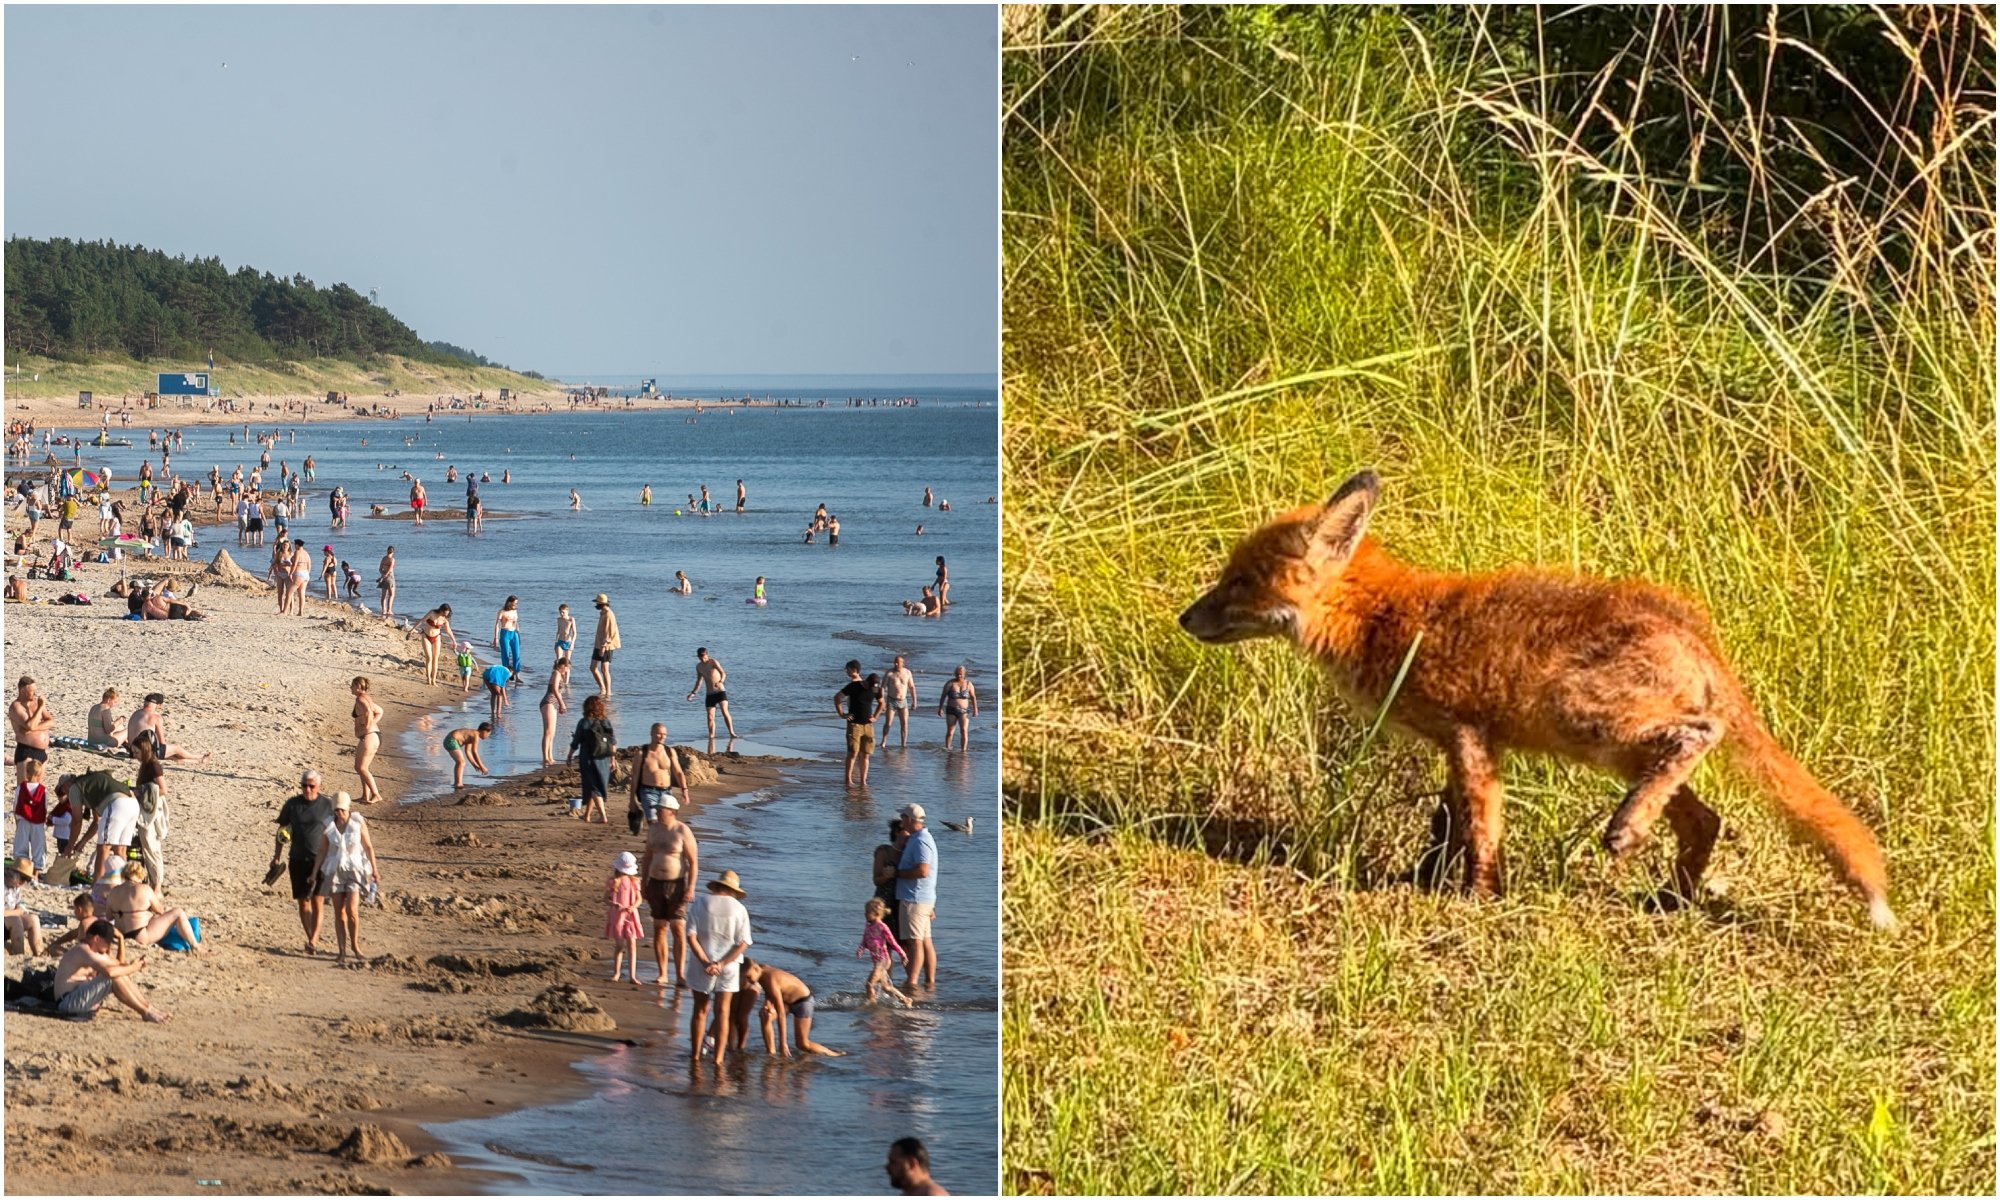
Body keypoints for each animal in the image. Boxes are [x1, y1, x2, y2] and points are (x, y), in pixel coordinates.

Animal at [1178, 469, 1895, 931]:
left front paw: (1476, 897)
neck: (1383, 619)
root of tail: (1692, 625)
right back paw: (1673, 900)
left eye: (1239, 582)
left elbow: (1479, 826)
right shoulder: (1465, 744)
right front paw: (1427, 880)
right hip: (1619, 750)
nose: (1185, 619)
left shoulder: (1467, 734)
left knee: (1699, 735)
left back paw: (1628, 829)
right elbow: (1447, 823)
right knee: (1705, 819)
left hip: (1589, 720)